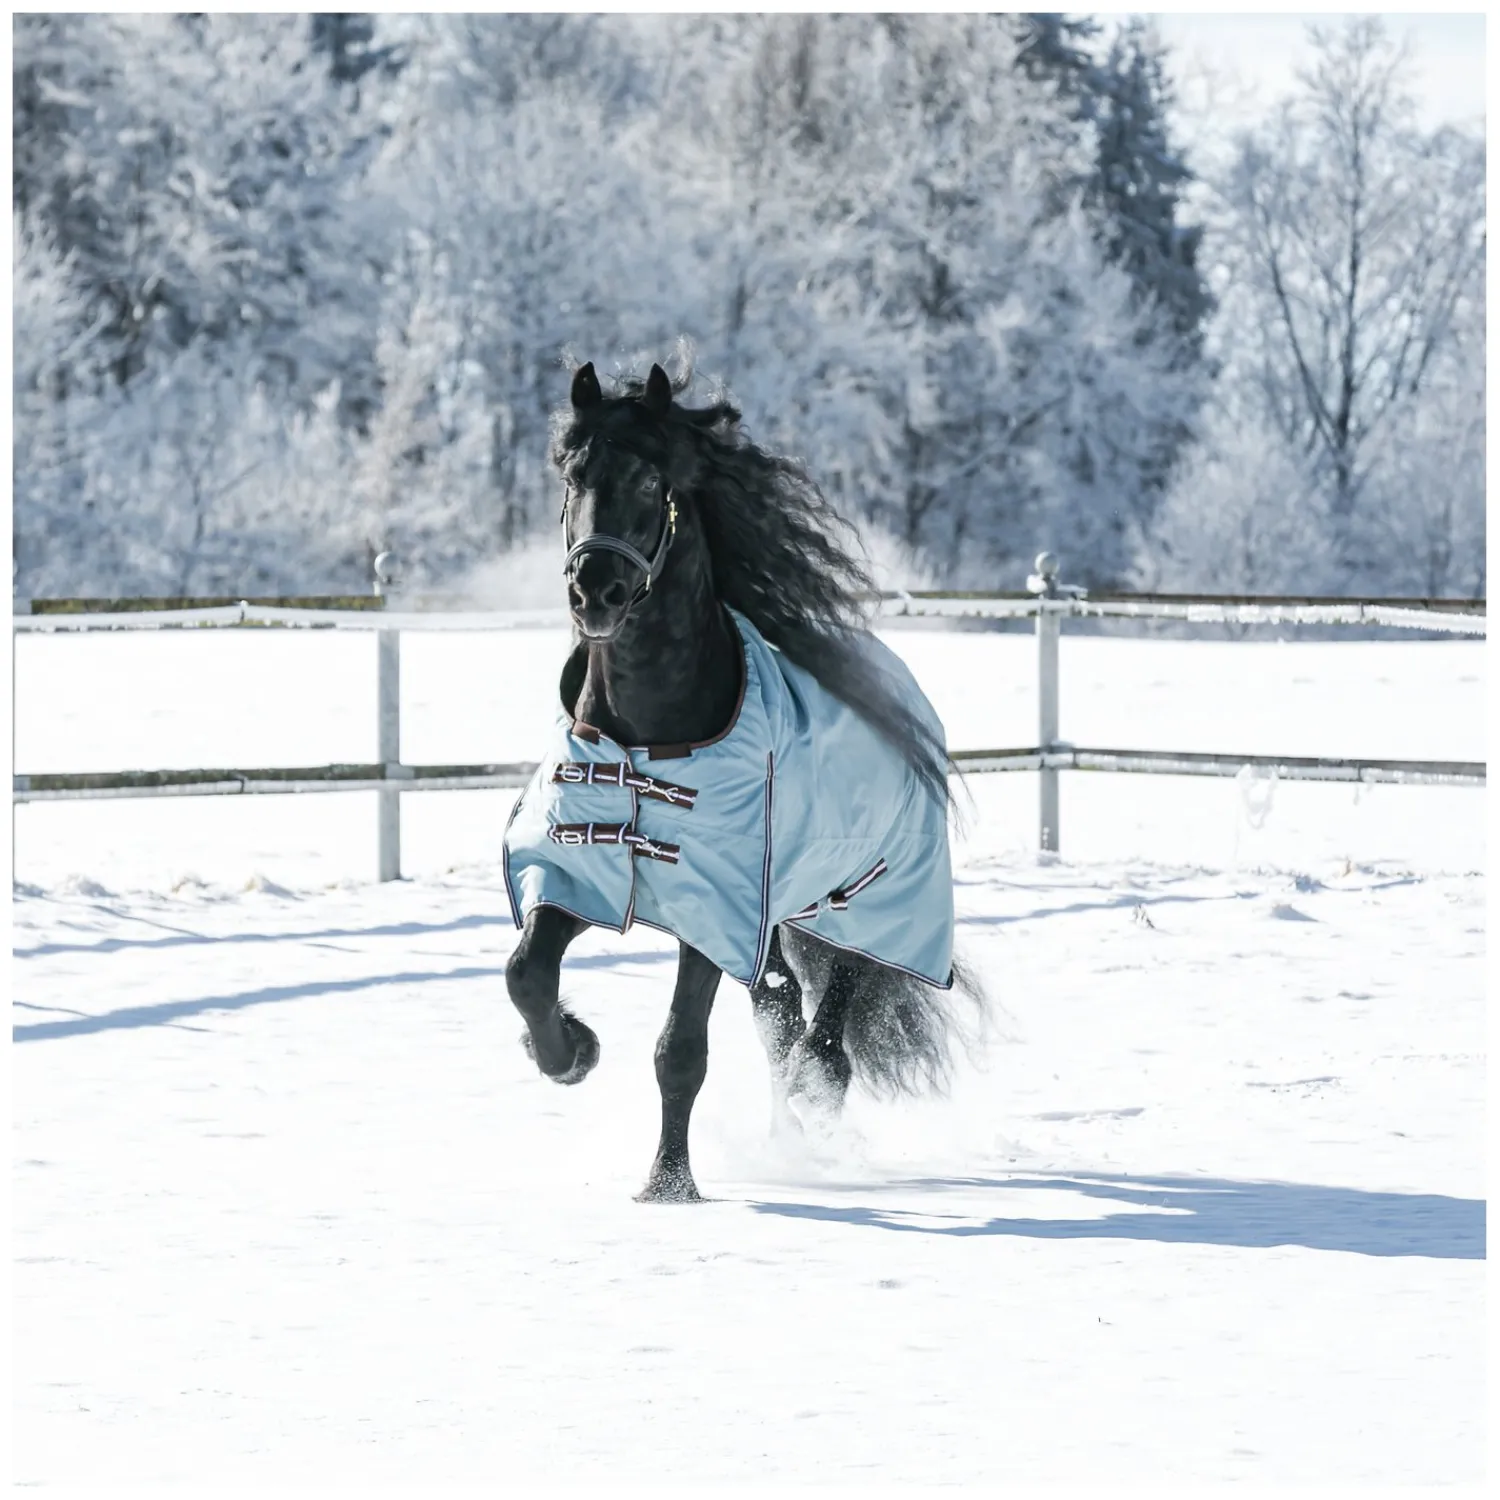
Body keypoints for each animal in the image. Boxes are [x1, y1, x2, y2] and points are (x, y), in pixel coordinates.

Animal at [502, 359, 985, 1202]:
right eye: (571, 475)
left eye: (650, 476)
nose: (595, 592)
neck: (650, 735)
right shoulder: (583, 871)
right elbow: (527, 972)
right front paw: (569, 1051)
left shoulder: (716, 913)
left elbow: (679, 1051)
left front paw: (668, 1185)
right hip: (777, 928)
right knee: (783, 1018)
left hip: (852, 915)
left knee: (823, 1045)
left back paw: (806, 1122)